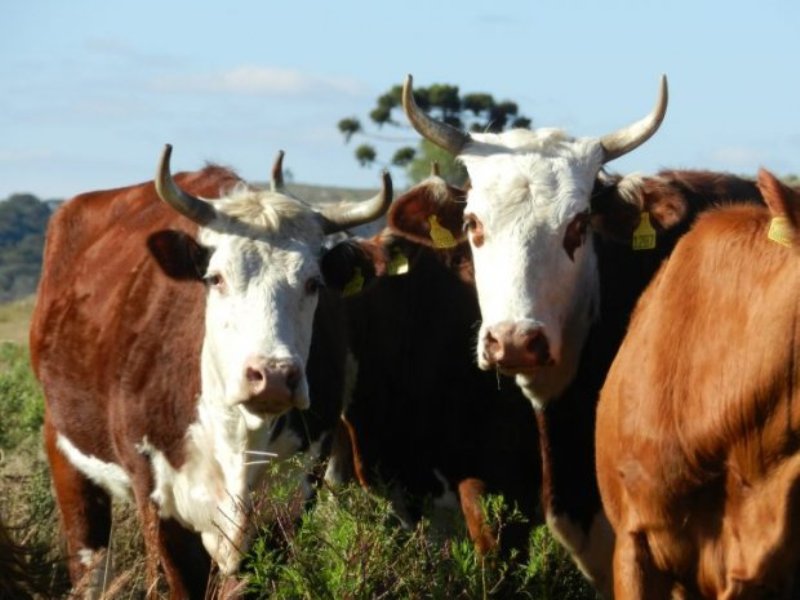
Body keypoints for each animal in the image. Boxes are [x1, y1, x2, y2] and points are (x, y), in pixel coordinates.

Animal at [29, 146, 392, 600]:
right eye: (216, 278)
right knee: (92, 567)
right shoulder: (161, 508)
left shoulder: (290, 507)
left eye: (313, 283)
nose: (274, 376)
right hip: (65, 453)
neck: (239, 434)